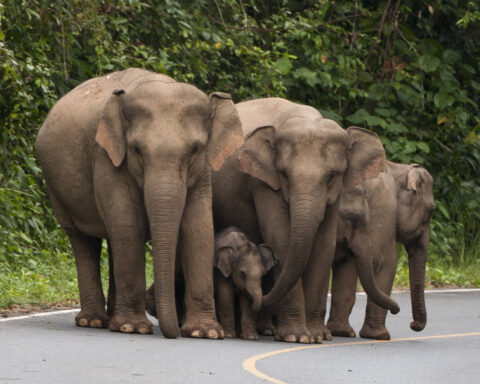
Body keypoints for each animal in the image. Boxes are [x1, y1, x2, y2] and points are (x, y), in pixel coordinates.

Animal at [35, 67, 244, 338]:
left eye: (195, 149)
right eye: (136, 149)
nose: (173, 331)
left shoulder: (203, 172)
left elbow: (199, 228)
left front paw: (205, 333)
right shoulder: (106, 156)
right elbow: (128, 224)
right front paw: (132, 328)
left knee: (113, 241)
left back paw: (111, 318)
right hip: (56, 190)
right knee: (84, 241)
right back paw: (93, 321)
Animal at [212, 97, 400, 344]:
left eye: (332, 176)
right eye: (284, 174)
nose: (397, 310)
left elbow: (324, 244)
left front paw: (317, 336)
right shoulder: (262, 182)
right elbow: (281, 237)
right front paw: (297, 337)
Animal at [326, 161, 436, 340]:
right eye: (431, 210)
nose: (413, 325)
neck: (398, 168)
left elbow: (346, 262)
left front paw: (342, 333)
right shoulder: (384, 209)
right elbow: (384, 261)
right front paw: (380, 336)